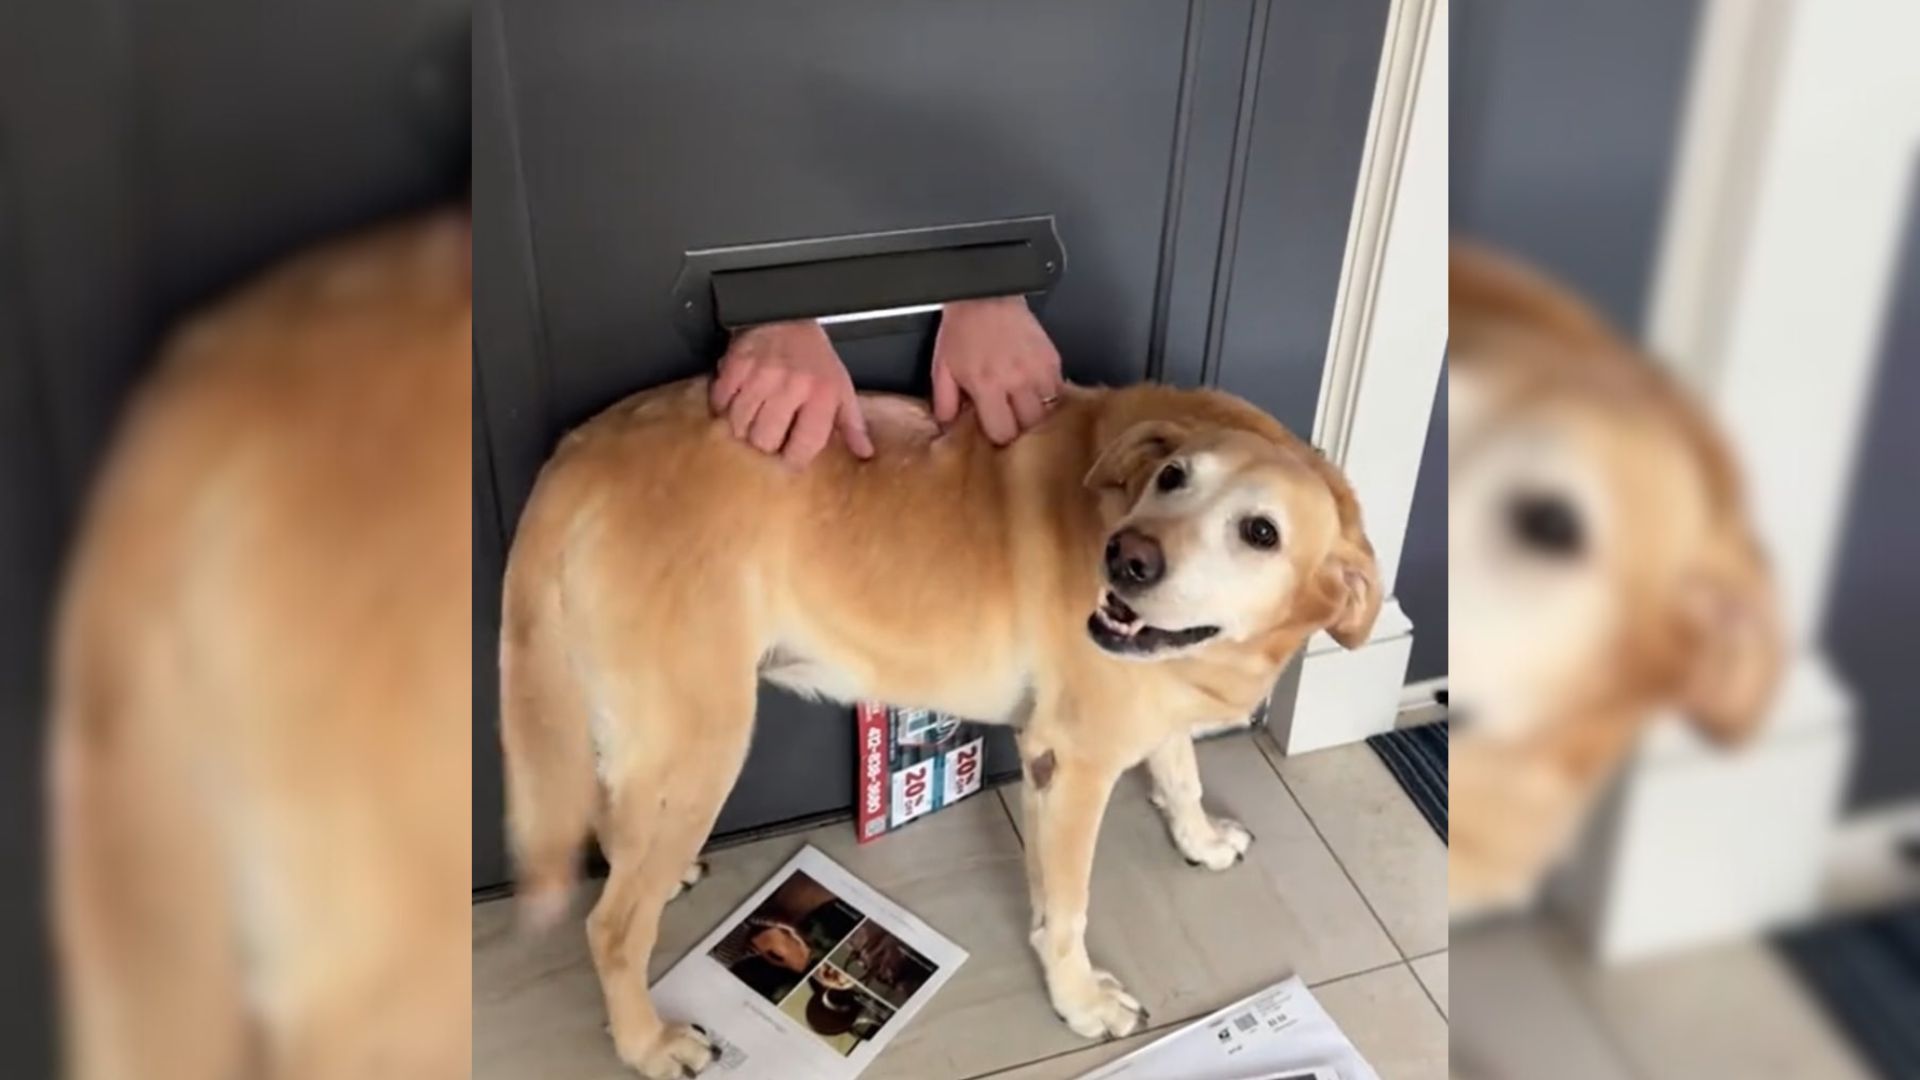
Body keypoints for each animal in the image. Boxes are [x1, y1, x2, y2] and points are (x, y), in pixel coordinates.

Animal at [503, 374, 1374, 1068]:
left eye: (1260, 532)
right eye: (1173, 476)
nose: (1126, 558)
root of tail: (573, 457)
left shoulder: (1151, 698)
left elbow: (1181, 773)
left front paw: (1201, 841)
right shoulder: (1071, 764)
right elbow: (1067, 909)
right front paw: (1080, 1000)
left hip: (659, 744)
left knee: (617, 824)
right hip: (703, 744)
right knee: (613, 929)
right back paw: (648, 1045)